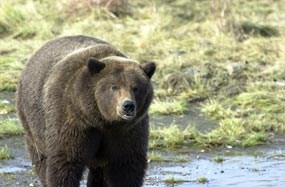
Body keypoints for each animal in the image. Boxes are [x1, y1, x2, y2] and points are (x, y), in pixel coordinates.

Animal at [15, 35, 155, 187]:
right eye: (114, 87)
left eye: (136, 88)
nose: (128, 105)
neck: (102, 120)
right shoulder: (73, 121)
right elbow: (66, 162)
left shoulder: (127, 132)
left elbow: (126, 166)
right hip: (32, 120)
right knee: (41, 158)